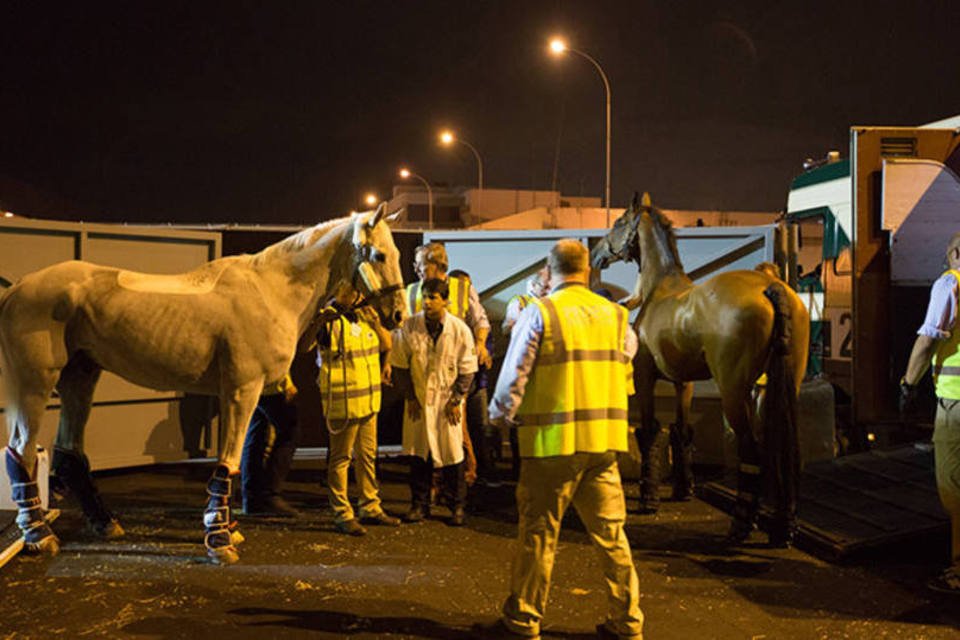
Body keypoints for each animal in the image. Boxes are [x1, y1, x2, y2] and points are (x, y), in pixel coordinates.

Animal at [0, 208, 404, 564]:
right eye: (380, 254)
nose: (398, 314)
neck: (270, 291)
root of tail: (18, 288)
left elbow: (233, 463)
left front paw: (227, 529)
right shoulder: (243, 391)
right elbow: (229, 461)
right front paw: (219, 540)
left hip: (81, 376)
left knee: (69, 450)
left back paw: (104, 522)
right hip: (36, 383)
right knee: (20, 450)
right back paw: (39, 535)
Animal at [592, 195, 808, 544]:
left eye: (619, 222)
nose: (597, 254)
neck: (659, 287)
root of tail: (770, 287)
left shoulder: (646, 377)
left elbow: (649, 431)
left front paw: (649, 497)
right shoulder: (684, 382)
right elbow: (681, 430)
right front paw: (683, 488)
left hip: (734, 392)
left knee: (752, 452)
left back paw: (741, 524)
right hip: (775, 389)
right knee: (782, 450)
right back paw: (782, 527)